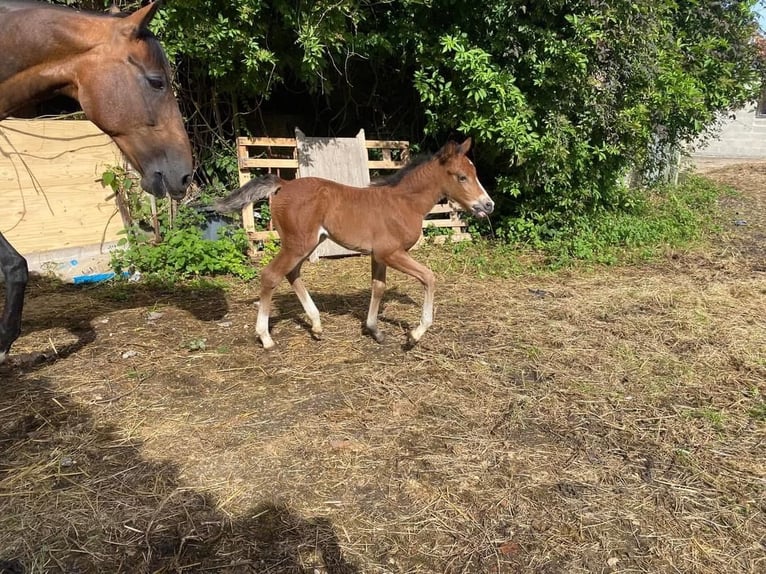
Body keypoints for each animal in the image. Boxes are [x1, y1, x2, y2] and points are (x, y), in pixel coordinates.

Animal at [214, 138, 498, 352]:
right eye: (461, 177)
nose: (488, 205)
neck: (404, 203)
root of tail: (284, 184)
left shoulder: (378, 256)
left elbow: (378, 287)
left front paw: (374, 330)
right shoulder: (391, 253)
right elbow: (428, 277)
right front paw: (415, 334)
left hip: (308, 243)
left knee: (292, 273)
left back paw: (316, 325)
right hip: (297, 244)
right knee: (271, 275)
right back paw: (266, 338)